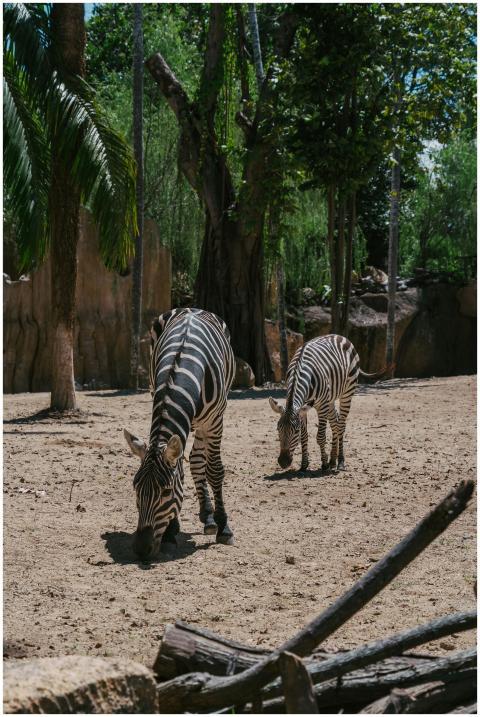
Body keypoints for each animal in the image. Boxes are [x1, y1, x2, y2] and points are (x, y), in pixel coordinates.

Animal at [124, 307, 235, 560]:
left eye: (166, 491)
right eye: (136, 488)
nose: (141, 550)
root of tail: (192, 308)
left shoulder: (215, 421)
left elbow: (215, 470)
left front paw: (224, 527)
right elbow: (181, 472)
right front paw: (171, 532)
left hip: (207, 422)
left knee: (199, 460)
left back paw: (212, 520)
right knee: (194, 460)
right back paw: (206, 516)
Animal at [269, 334, 386, 473]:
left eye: (295, 431)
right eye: (278, 429)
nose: (283, 462)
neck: (300, 369)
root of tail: (339, 336)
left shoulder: (321, 406)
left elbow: (320, 437)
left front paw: (324, 464)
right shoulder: (303, 409)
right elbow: (304, 437)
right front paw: (304, 464)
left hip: (346, 393)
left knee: (341, 425)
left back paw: (340, 462)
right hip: (330, 400)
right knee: (335, 423)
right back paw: (333, 460)